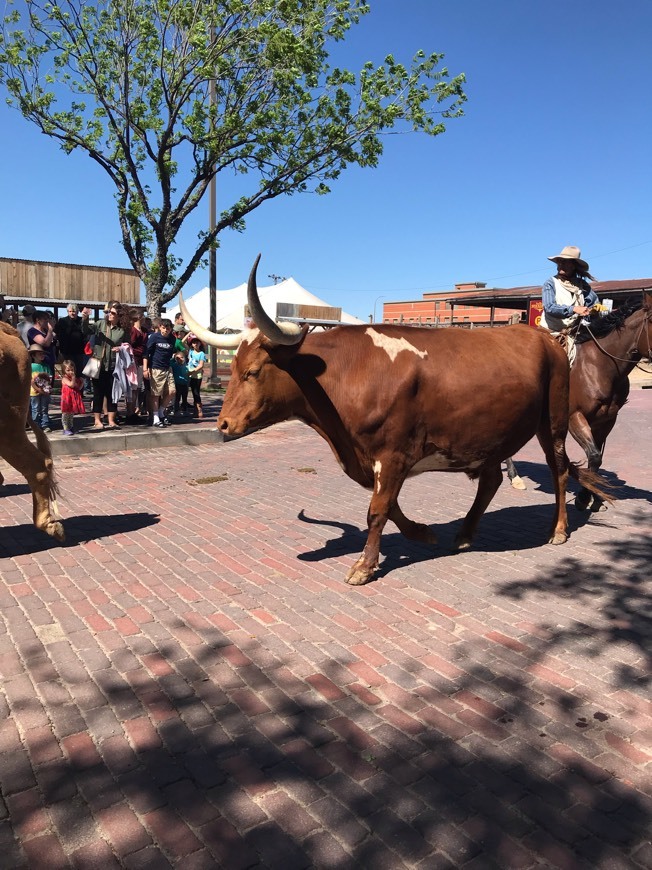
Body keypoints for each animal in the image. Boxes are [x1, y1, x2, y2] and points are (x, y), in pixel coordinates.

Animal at [180, 258, 612, 584]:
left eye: (253, 371)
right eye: (234, 367)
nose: (223, 425)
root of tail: (545, 340)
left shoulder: (392, 454)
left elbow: (378, 509)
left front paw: (363, 566)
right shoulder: (375, 458)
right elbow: (388, 506)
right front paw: (422, 532)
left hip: (552, 422)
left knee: (558, 470)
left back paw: (558, 531)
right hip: (490, 434)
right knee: (490, 481)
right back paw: (464, 535)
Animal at [510, 292, 652, 510]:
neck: (600, 365)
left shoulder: (607, 420)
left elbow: (597, 457)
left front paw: (593, 495)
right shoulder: (575, 416)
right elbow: (593, 455)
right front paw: (584, 497)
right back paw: (515, 477)